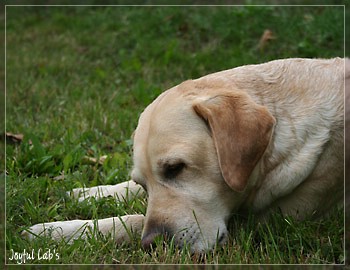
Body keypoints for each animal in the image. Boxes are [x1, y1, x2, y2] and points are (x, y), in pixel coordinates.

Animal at [23, 57, 346, 253]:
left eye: (176, 168)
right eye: (143, 184)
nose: (153, 244)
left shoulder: (265, 222)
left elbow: (134, 220)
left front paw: (58, 231)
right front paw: (88, 194)